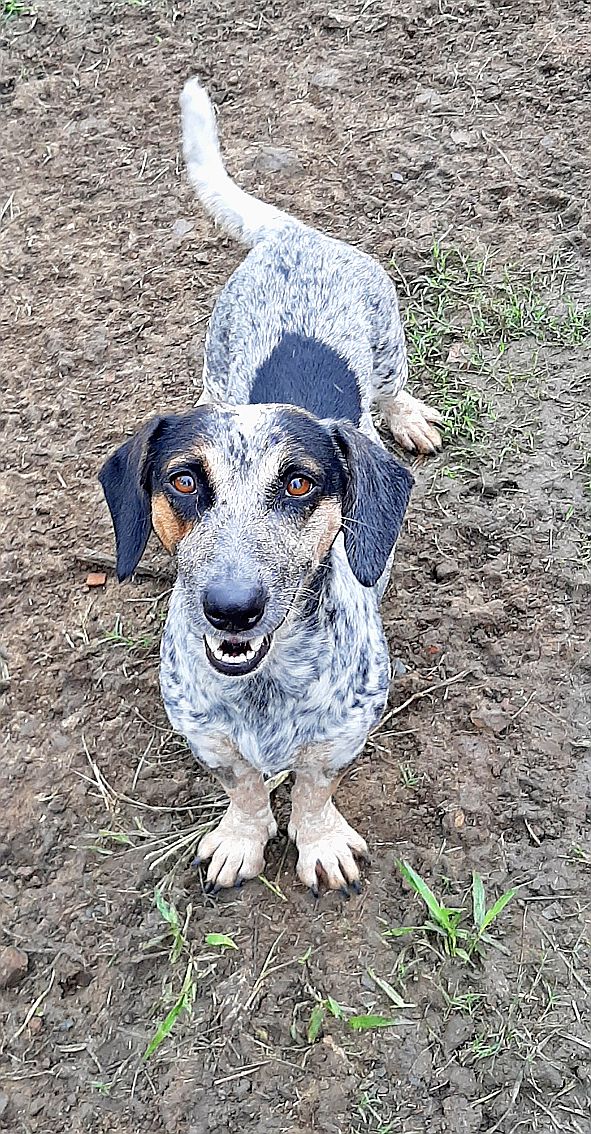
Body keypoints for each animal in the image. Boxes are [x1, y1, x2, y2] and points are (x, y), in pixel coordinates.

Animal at [99, 77, 440, 893]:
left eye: (299, 485)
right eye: (183, 481)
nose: (231, 608)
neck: (265, 683)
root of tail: (295, 237)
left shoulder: (348, 725)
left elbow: (315, 785)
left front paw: (319, 842)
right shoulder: (202, 729)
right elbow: (246, 787)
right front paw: (241, 837)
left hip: (388, 340)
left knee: (390, 389)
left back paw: (406, 415)